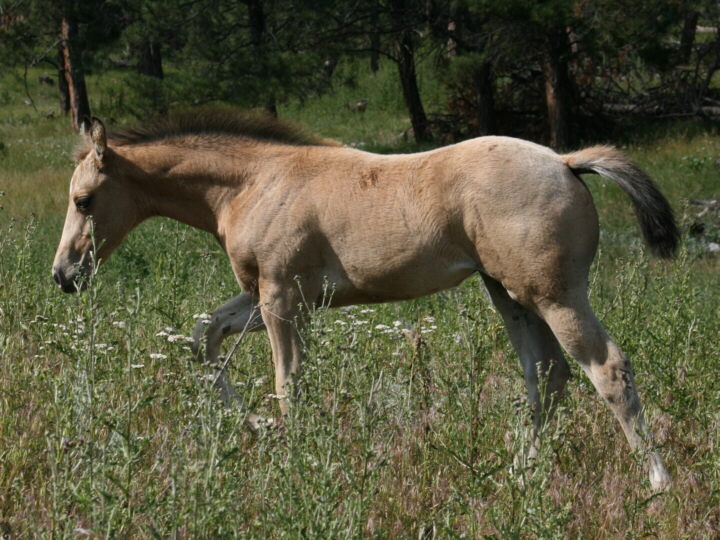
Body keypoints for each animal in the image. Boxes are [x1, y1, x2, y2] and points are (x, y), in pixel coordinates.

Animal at [52, 110, 679, 490]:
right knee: (546, 375)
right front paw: (253, 424)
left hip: (554, 294)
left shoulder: (283, 298)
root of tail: (566, 161)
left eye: (84, 200)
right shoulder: (267, 297)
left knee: (608, 370)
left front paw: (294, 459)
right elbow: (204, 336)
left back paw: (657, 484)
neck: (255, 183)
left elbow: (288, 383)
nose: (63, 276)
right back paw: (518, 476)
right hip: (508, 294)